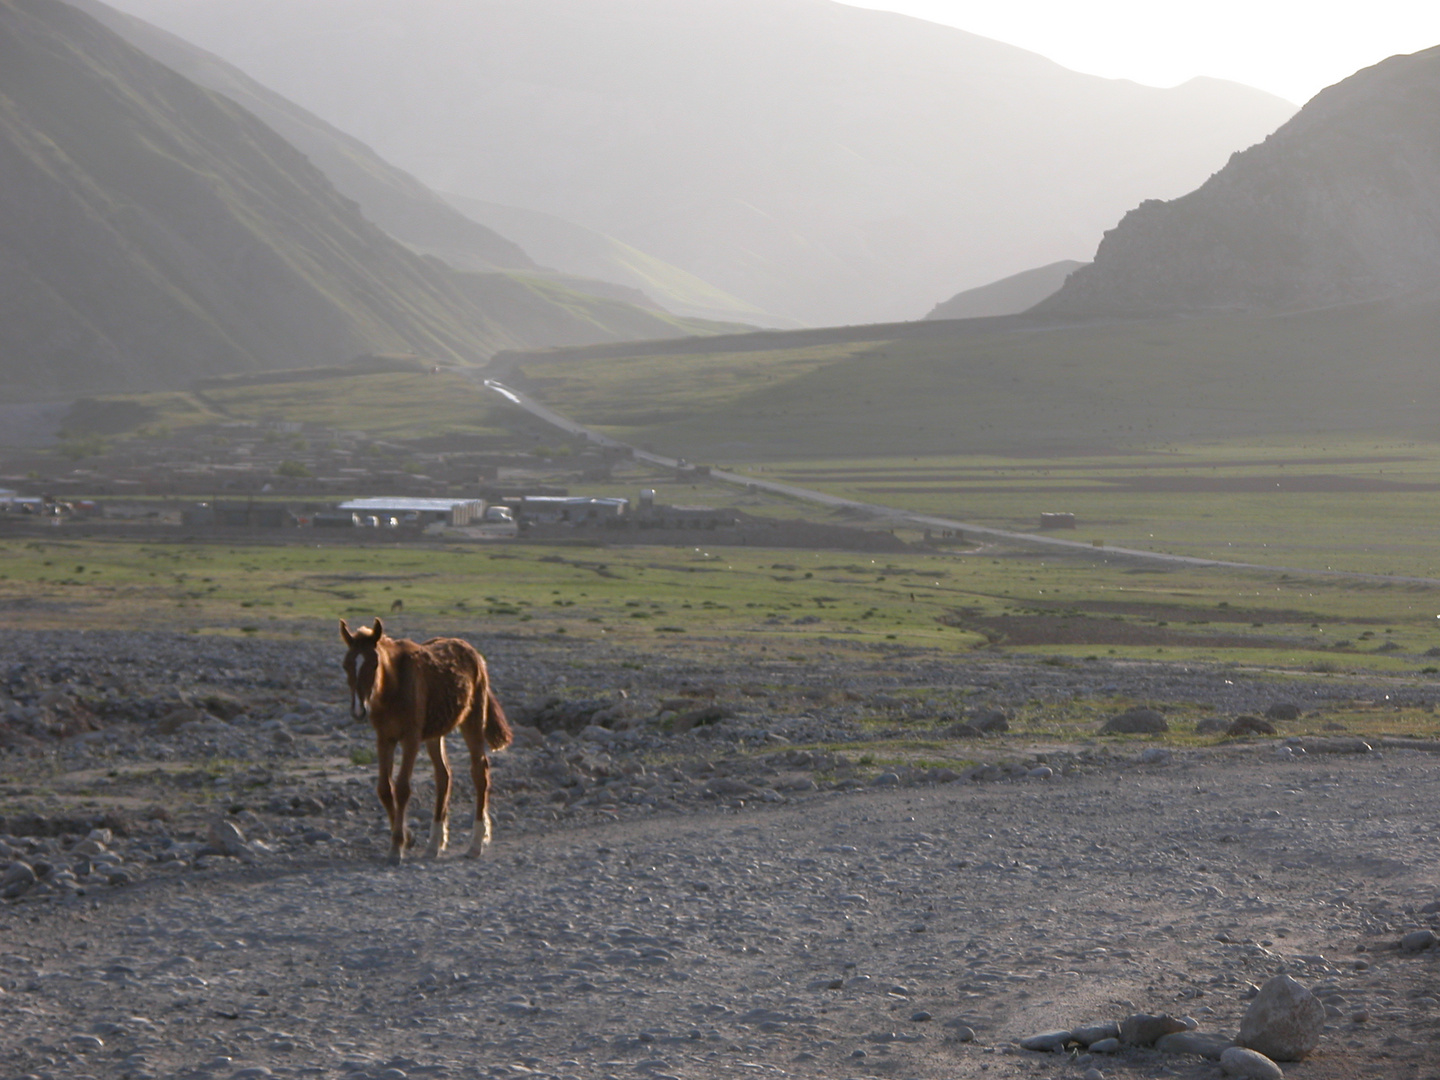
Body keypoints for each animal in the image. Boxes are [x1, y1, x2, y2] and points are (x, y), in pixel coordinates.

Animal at [338, 622, 512, 869]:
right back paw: (434, 844)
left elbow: (402, 788)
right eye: (346, 665)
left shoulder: (410, 738)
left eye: (374, 664)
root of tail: (475, 654)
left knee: (480, 773)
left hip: (472, 721)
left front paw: (396, 847)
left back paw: (475, 844)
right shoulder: (384, 738)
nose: (358, 710)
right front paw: (408, 837)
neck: (392, 688)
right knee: (443, 776)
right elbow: (384, 789)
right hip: (434, 733)